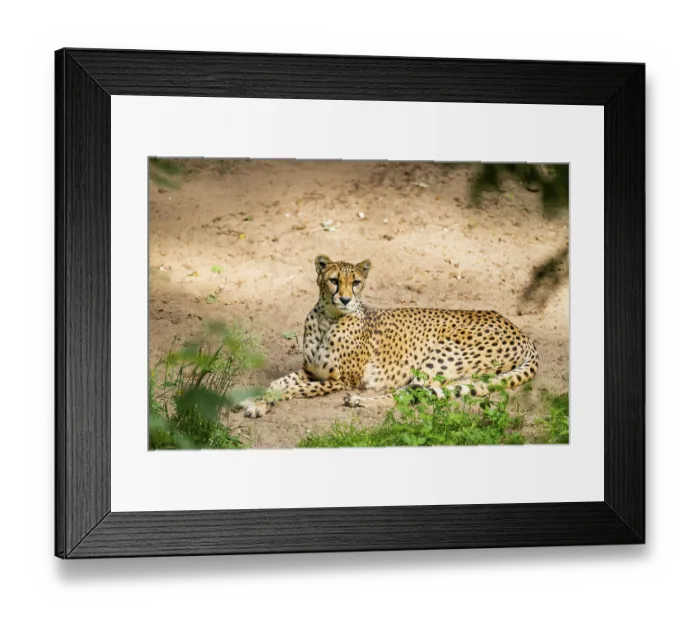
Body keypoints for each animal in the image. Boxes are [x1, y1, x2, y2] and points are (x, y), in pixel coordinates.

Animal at [238, 255, 539, 419]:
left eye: (356, 282)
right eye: (334, 280)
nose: (345, 299)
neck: (328, 319)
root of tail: (518, 329)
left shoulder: (340, 381)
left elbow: (292, 389)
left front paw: (261, 404)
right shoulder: (311, 371)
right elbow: (278, 382)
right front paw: (255, 400)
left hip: (440, 358)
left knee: (413, 393)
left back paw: (360, 401)